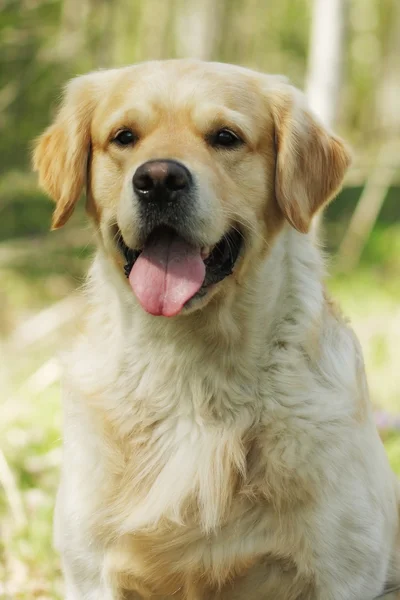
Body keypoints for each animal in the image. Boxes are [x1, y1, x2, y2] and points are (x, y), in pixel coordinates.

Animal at [32, 58, 398, 596]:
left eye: (225, 137)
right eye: (124, 137)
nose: (159, 180)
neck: (193, 374)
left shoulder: (345, 570)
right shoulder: (87, 570)